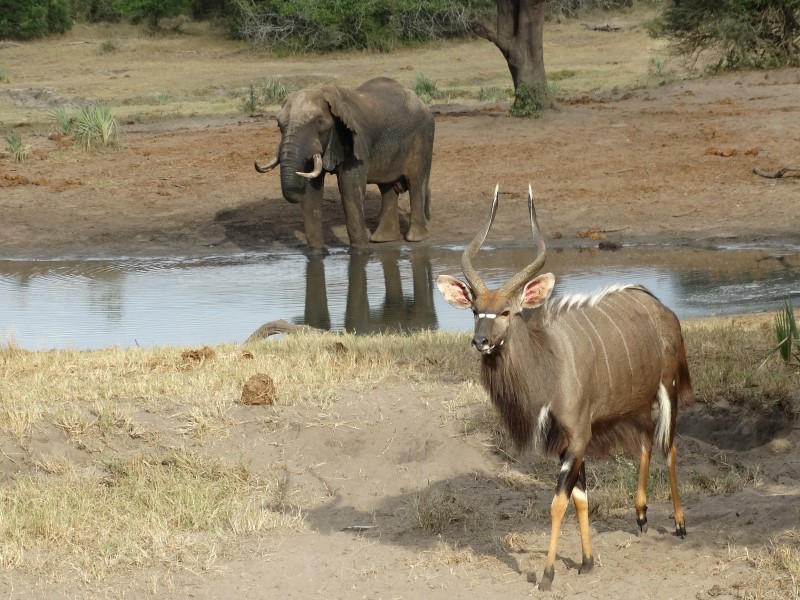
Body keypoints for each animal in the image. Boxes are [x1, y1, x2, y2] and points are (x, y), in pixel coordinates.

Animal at [255, 77, 434, 251]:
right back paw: (382, 240)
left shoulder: (357, 138)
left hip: (423, 136)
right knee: (387, 188)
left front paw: (361, 251)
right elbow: (311, 192)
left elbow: (349, 187)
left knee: (415, 183)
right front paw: (317, 253)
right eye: (279, 125)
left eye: (318, 122)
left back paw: (415, 238)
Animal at [438, 186, 692, 592]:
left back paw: (681, 523)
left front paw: (547, 574)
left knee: (668, 446)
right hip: (635, 404)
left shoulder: (576, 436)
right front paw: (587, 562)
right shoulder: (569, 441)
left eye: (507, 311)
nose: (481, 341)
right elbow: (580, 497)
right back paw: (639, 515)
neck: (549, 361)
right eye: (476, 310)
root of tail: (662, 309)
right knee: (644, 443)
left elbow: (558, 501)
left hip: (667, 390)